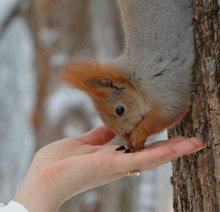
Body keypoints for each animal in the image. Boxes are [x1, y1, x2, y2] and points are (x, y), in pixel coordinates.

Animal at [61, 0, 195, 152]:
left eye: (120, 110)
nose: (126, 135)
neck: (136, 80)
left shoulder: (162, 85)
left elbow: (168, 112)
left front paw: (138, 134)